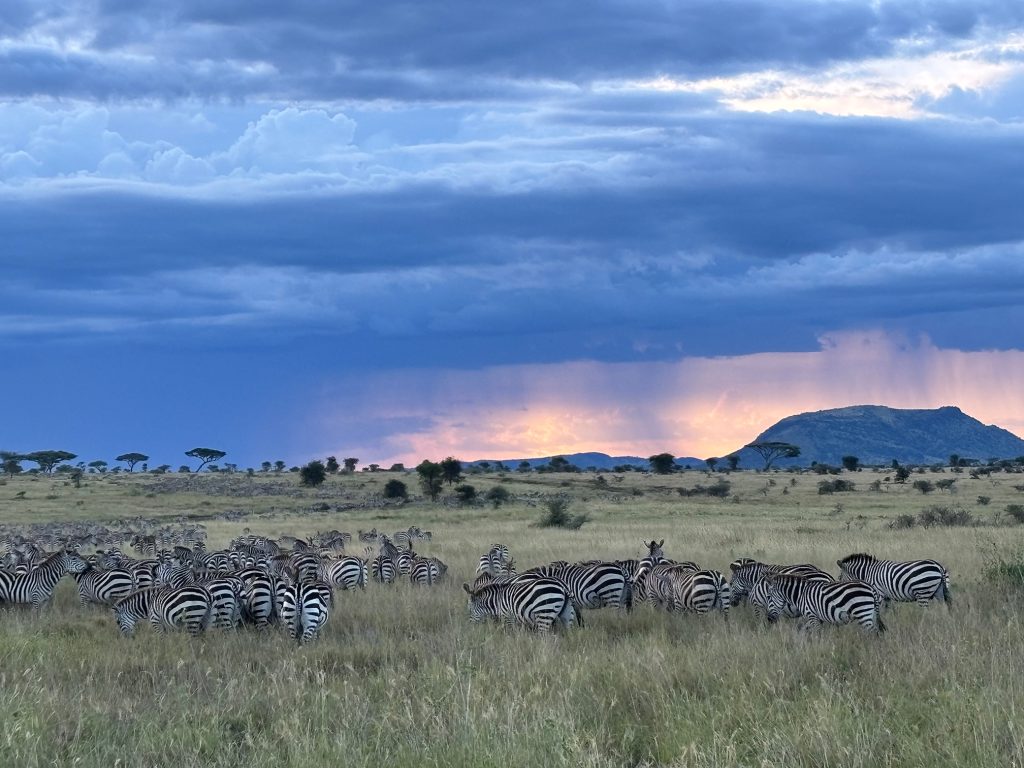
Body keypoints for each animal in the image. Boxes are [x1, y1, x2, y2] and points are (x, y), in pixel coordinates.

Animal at [754, 574, 885, 634]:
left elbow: (816, 635)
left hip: (863, 612)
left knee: (874, 633)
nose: (769, 619)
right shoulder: (816, 618)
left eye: (768, 597)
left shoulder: (811, 615)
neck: (801, 594)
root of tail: (870, 587)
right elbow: (803, 631)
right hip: (870, 613)